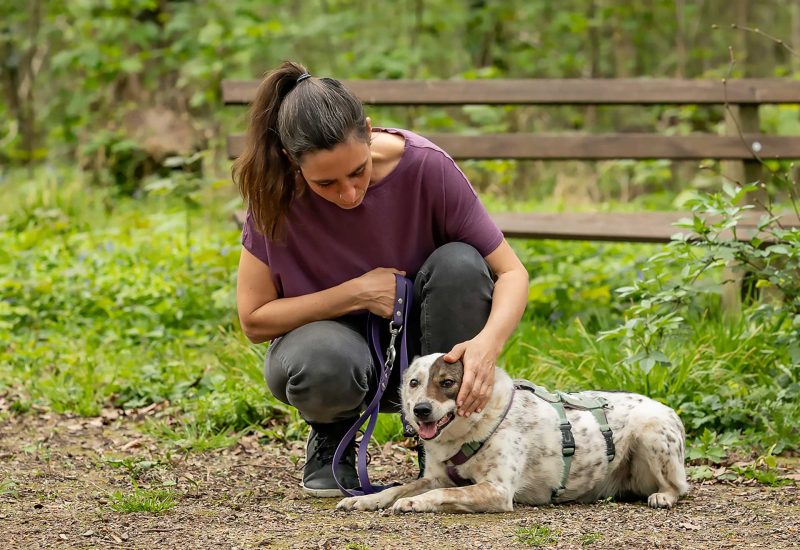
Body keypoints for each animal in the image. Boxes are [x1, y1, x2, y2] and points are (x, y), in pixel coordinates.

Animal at [336, 356, 688, 516]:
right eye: (413, 383)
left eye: (447, 382)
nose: (421, 410)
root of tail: (668, 409)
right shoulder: (437, 476)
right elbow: (398, 487)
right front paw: (365, 499)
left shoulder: (497, 490)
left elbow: (436, 494)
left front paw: (413, 503)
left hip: (651, 432)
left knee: (679, 487)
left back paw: (663, 496)